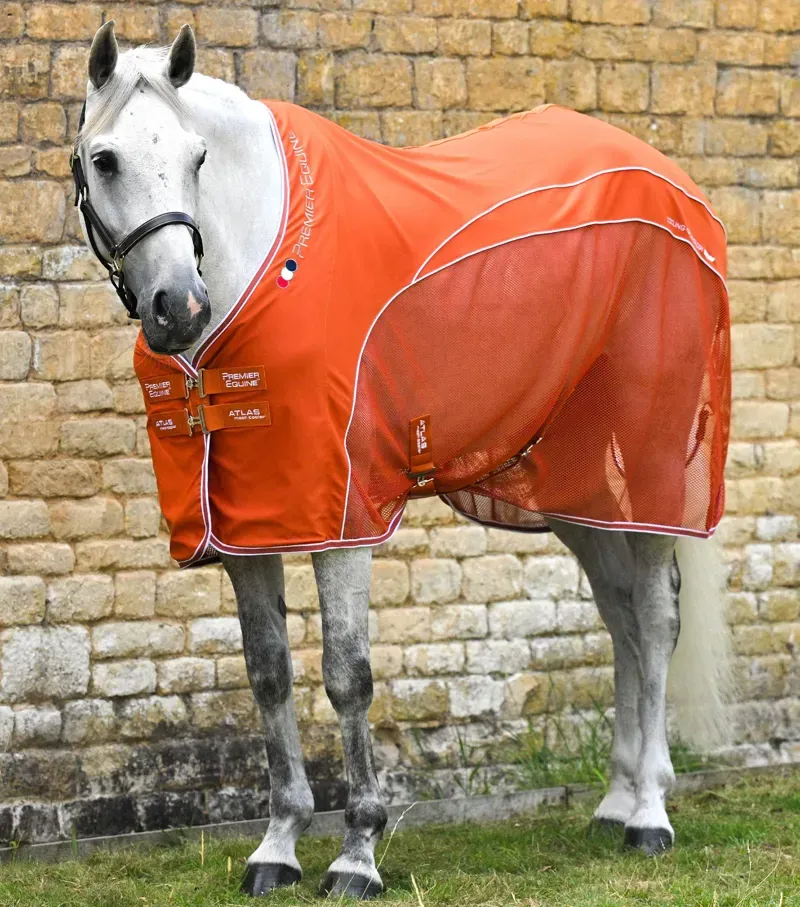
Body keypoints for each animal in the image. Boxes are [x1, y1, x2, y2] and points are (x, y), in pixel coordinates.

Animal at [73, 22, 733, 899]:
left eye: (197, 157)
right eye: (105, 158)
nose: (178, 306)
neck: (265, 270)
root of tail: (676, 186)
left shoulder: (342, 517)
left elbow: (346, 675)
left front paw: (357, 851)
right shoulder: (247, 527)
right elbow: (268, 672)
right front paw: (277, 846)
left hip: (650, 471)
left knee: (655, 620)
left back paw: (651, 815)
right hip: (576, 487)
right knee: (622, 616)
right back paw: (617, 800)